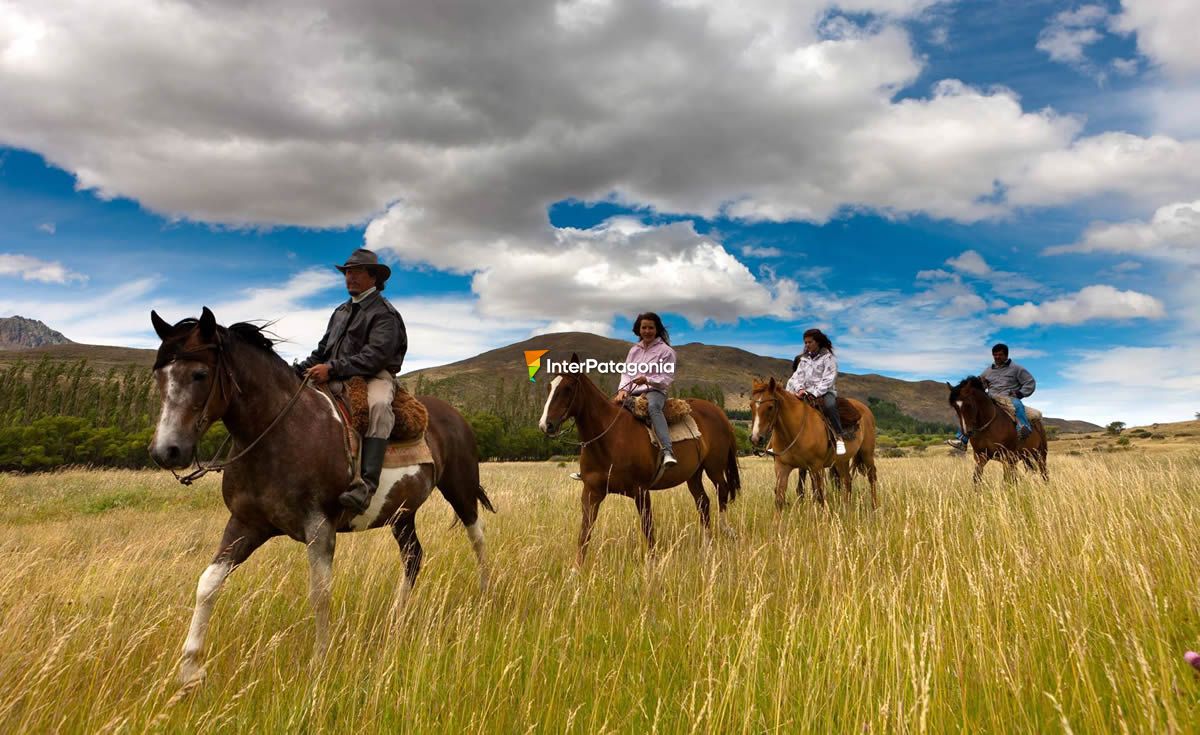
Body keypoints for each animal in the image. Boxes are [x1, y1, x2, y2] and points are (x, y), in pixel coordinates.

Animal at [150, 307, 492, 686]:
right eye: (159, 377)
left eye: (199, 374)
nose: (166, 451)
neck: (279, 431)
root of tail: (455, 415)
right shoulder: (245, 524)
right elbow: (208, 583)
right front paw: (189, 671)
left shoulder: (319, 527)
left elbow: (320, 592)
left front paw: (320, 660)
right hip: (401, 514)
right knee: (413, 557)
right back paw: (395, 620)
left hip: (460, 489)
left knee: (477, 538)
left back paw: (485, 597)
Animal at [537, 353, 739, 564]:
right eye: (549, 388)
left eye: (568, 388)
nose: (545, 425)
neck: (609, 438)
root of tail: (719, 412)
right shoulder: (591, 492)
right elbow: (585, 532)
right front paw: (577, 568)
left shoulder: (641, 491)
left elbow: (647, 527)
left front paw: (653, 563)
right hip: (693, 474)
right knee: (703, 502)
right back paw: (707, 547)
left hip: (714, 467)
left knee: (722, 491)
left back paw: (727, 530)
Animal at [744, 379, 878, 511]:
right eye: (751, 406)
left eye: (770, 407)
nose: (755, 438)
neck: (794, 431)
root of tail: (865, 409)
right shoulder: (782, 467)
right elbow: (780, 499)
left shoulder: (816, 467)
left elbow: (820, 496)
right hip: (841, 461)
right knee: (847, 481)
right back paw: (846, 509)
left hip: (867, 454)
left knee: (871, 478)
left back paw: (874, 508)